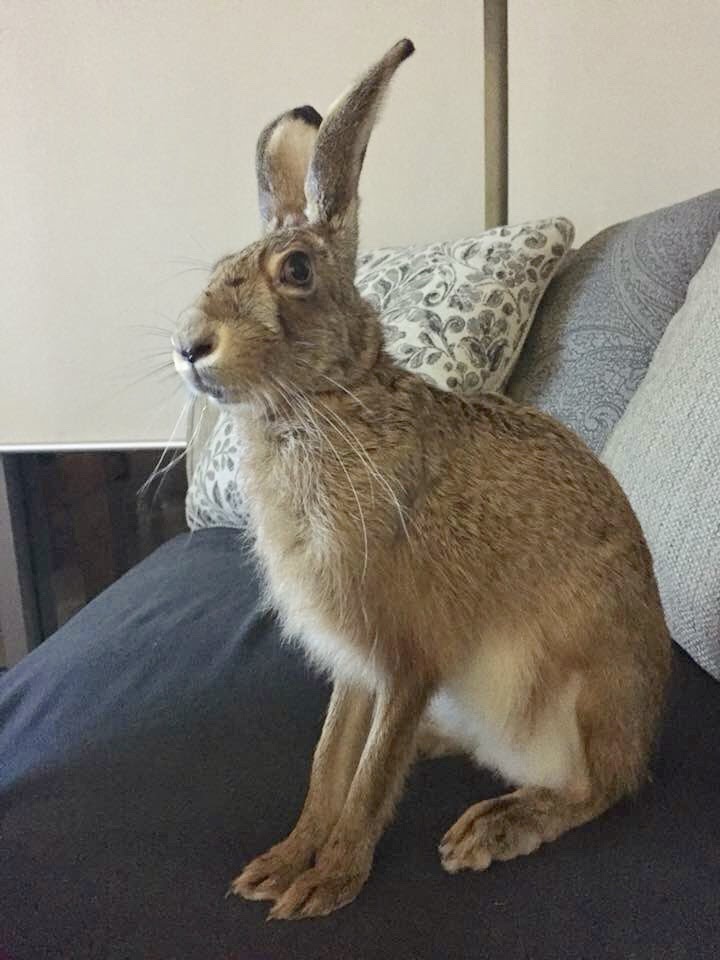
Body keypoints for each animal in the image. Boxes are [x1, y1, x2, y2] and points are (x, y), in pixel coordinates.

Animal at [173, 39, 671, 921]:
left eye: (295, 271)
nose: (190, 346)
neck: (324, 403)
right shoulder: (356, 667)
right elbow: (330, 764)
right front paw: (283, 864)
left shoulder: (407, 658)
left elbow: (369, 781)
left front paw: (328, 885)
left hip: (582, 691)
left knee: (596, 790)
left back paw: (494, 827)